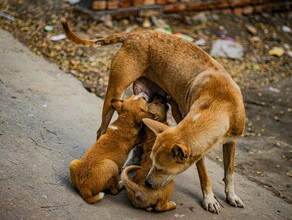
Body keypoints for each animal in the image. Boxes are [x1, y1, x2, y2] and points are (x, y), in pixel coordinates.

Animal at [62, 20, 246, 213]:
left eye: (161, 169)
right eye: (156, 167)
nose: (148, 184)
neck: (220, 102)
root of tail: (134, 34)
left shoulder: (231, 142)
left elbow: (229, 171)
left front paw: (231, 196)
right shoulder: (198, 152)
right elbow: (205, 176)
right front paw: (209, 199)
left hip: (145, 100)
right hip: (114, 93)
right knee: (101, 131)